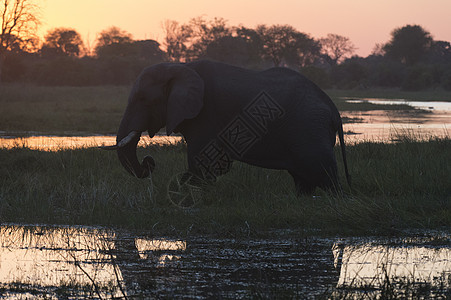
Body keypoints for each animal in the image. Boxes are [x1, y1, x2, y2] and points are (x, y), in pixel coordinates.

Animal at [100, 60, 352, 195]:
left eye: (144, 99)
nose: (149, 162)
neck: (182, 67)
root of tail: (333, 109)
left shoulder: (206, 114)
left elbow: (201, 162)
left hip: (310, 129)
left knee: (322, 173)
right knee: (302, 177)